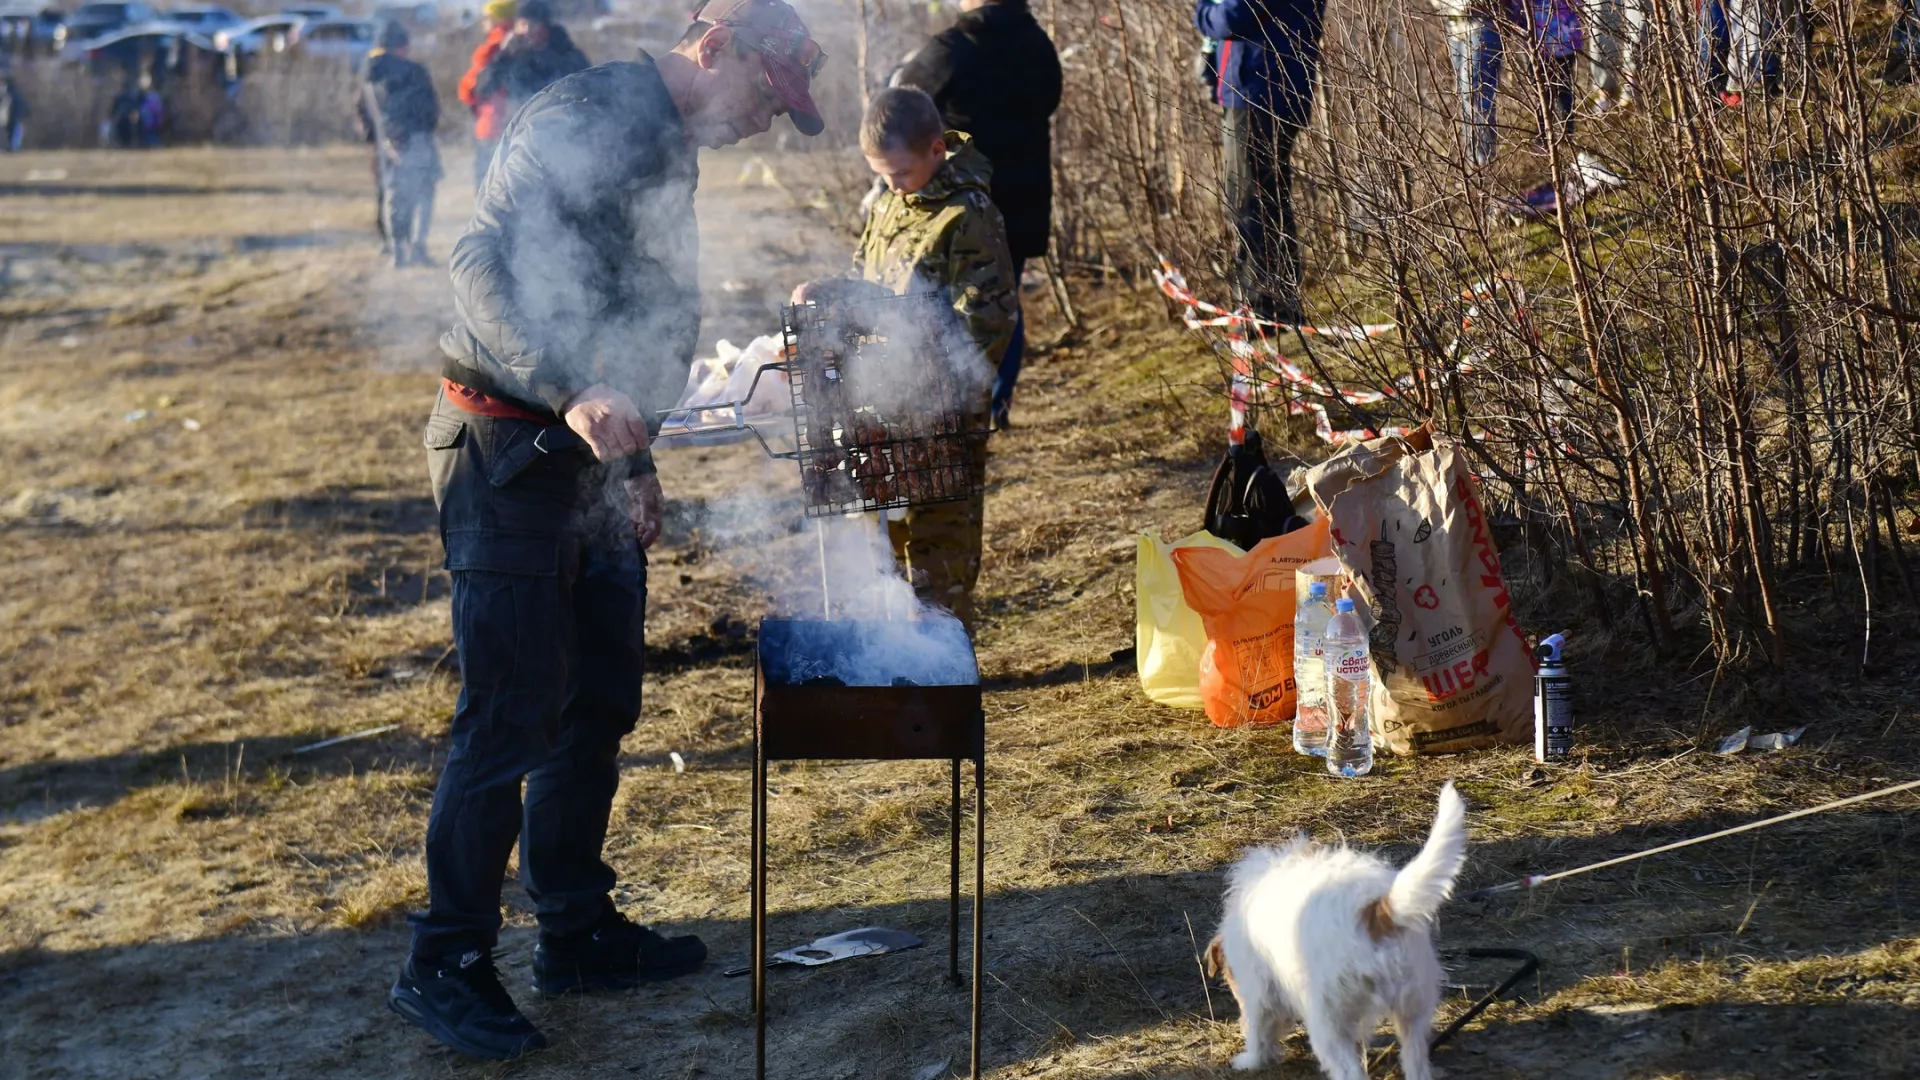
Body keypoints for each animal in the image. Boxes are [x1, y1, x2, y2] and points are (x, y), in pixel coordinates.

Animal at [1205, 780, 1459, 1076]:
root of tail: (1374, 911)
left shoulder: (1259, 988)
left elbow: (1258, 1029)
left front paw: (1251, 1060)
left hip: (1328, 1020)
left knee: (1349, 1071)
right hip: (1414, 1008)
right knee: (1415, 1059)